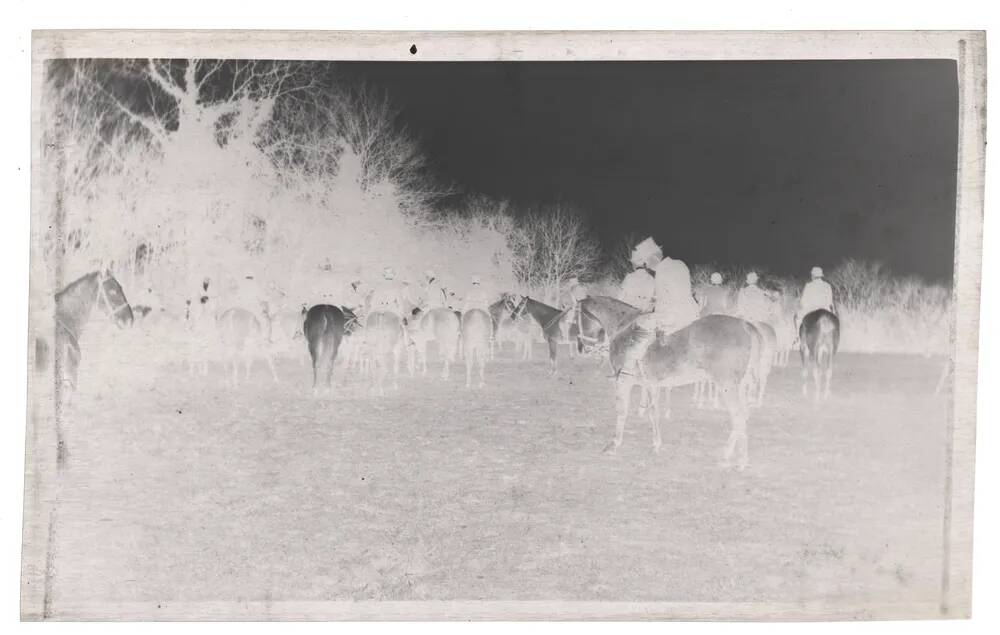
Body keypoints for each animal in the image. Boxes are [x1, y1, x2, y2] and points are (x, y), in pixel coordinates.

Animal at [604, 314, 760, 470]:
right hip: (739, 387)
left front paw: (614, 444)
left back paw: (740, 461)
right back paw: (727, 456)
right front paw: (656, 444)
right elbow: (653, 413)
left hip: (727, 385)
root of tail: (745, 325)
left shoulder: (624, 382)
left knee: (738, 416)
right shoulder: (650, 385)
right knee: (742, 416)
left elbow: (622, 411)